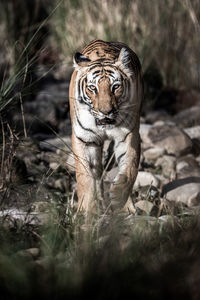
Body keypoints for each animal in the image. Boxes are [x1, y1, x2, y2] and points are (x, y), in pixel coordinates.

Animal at [69, 39, 143, 213]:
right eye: (92, 88)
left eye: (115, 87)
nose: (106, 111)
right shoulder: (85, 139)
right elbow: (85, 177)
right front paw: (86, 209)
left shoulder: (128, 136)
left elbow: (130, 167)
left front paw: (118, 195)